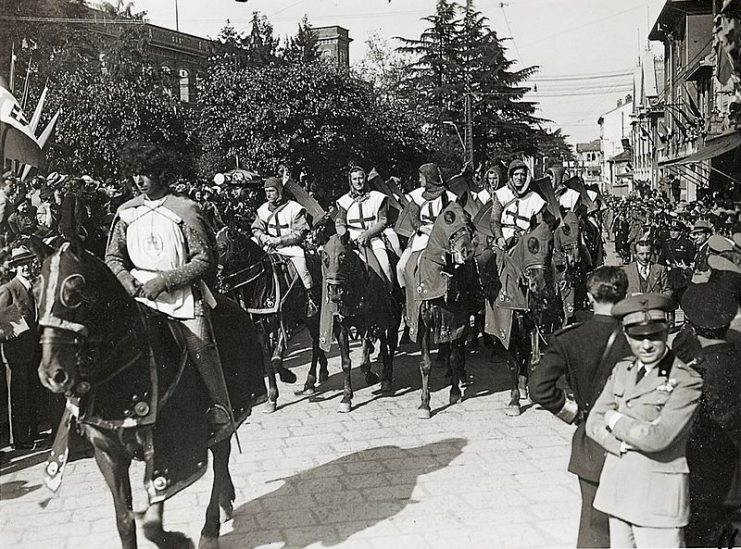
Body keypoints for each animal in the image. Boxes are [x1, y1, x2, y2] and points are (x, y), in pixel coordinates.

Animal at [32, 240, 264, 548]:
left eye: (76, 291)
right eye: (36, 292)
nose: (52, 374)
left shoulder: (169, 453)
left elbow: (152, 522)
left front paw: (179, 540)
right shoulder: (108, 456)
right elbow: (125, 521)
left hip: (224, 420)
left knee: (220, 459)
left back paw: (209, 530)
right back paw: (226, 504)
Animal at [215, 226, 328, 412]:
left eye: (222, 248)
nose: (216, 281)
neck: (261, 284)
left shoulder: (284, 323)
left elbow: (275, 360)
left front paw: (288, 377)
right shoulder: (261, 332)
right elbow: (268, 363)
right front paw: (272, 397)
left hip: (311, 317)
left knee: (316, 342)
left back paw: (310, 381)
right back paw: (322, 372)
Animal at [316, 230, 398, 412]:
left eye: (343, 258)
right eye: (324, 258)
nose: (334, 292)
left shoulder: (369, 325)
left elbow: (364, 362)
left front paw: (372, 376)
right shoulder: (342, 328)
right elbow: (346, 362)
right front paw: (346, 398)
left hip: (391, 319)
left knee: (389, 344)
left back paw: (387, 379)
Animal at [402, 201, 476, 420]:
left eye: (468, 218)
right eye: (448, 218)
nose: (467, 250)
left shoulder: (458, 323)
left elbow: (456, 357)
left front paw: (455, 392)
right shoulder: (424, 325)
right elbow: (425, 363)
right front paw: (425, 404)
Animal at [482, 220, 564, 414]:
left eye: (551, 245)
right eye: (531, 244)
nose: (538, 284)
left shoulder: (532, 328)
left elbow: (529, 359)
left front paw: (525, 387)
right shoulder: (508, 331)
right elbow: (513, 363)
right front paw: (514, 401)